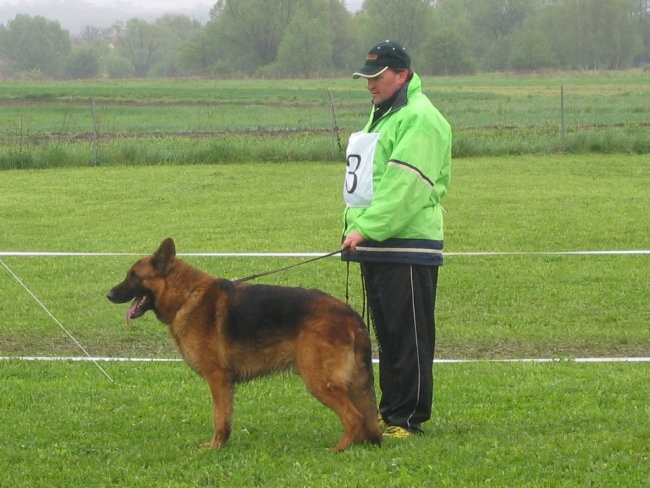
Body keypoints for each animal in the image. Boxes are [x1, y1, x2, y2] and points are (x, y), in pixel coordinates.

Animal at [106, 238, 380, 452]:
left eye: (134, 276)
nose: (109, 295)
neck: (186, 296)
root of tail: (350, 314)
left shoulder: (217, 379)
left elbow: (219, 417)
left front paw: (215, 447)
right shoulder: (225, 383)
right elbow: (226, 417)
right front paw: (222, 444)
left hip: (320, 381)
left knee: (354, 417)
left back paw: (340, 449)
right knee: (364, 417)